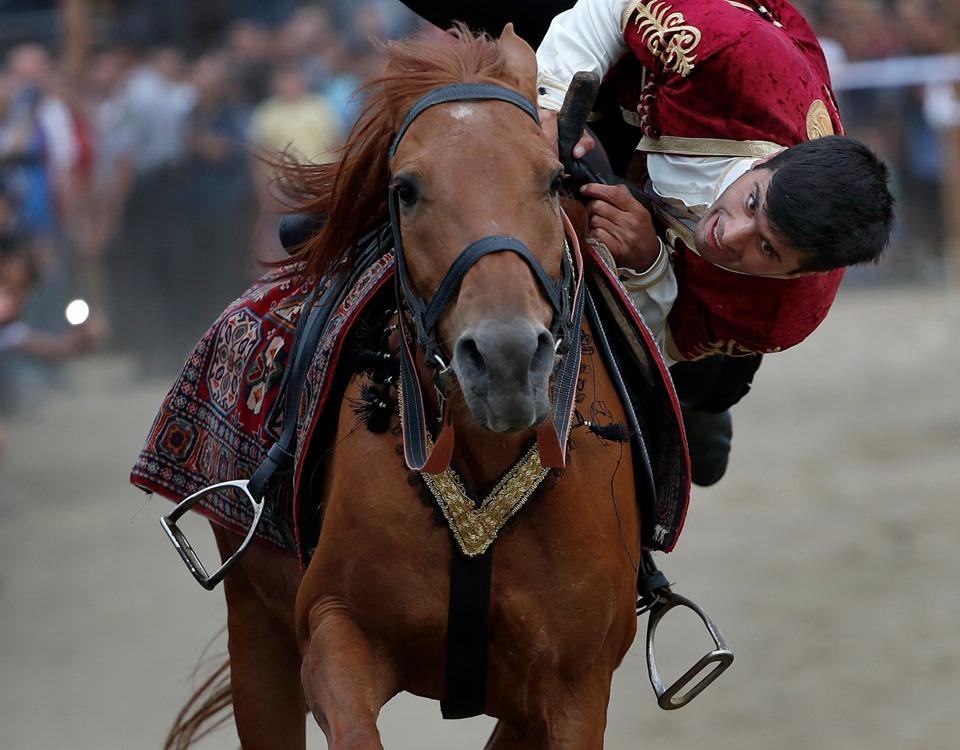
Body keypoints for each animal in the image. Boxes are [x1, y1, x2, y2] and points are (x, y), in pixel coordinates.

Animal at [159, 25, 684, 750]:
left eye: (554, 180)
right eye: (406, 189)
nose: (506, 358)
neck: (483, 462)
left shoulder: (572, 687)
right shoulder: (334, 627)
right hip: (256, 627)